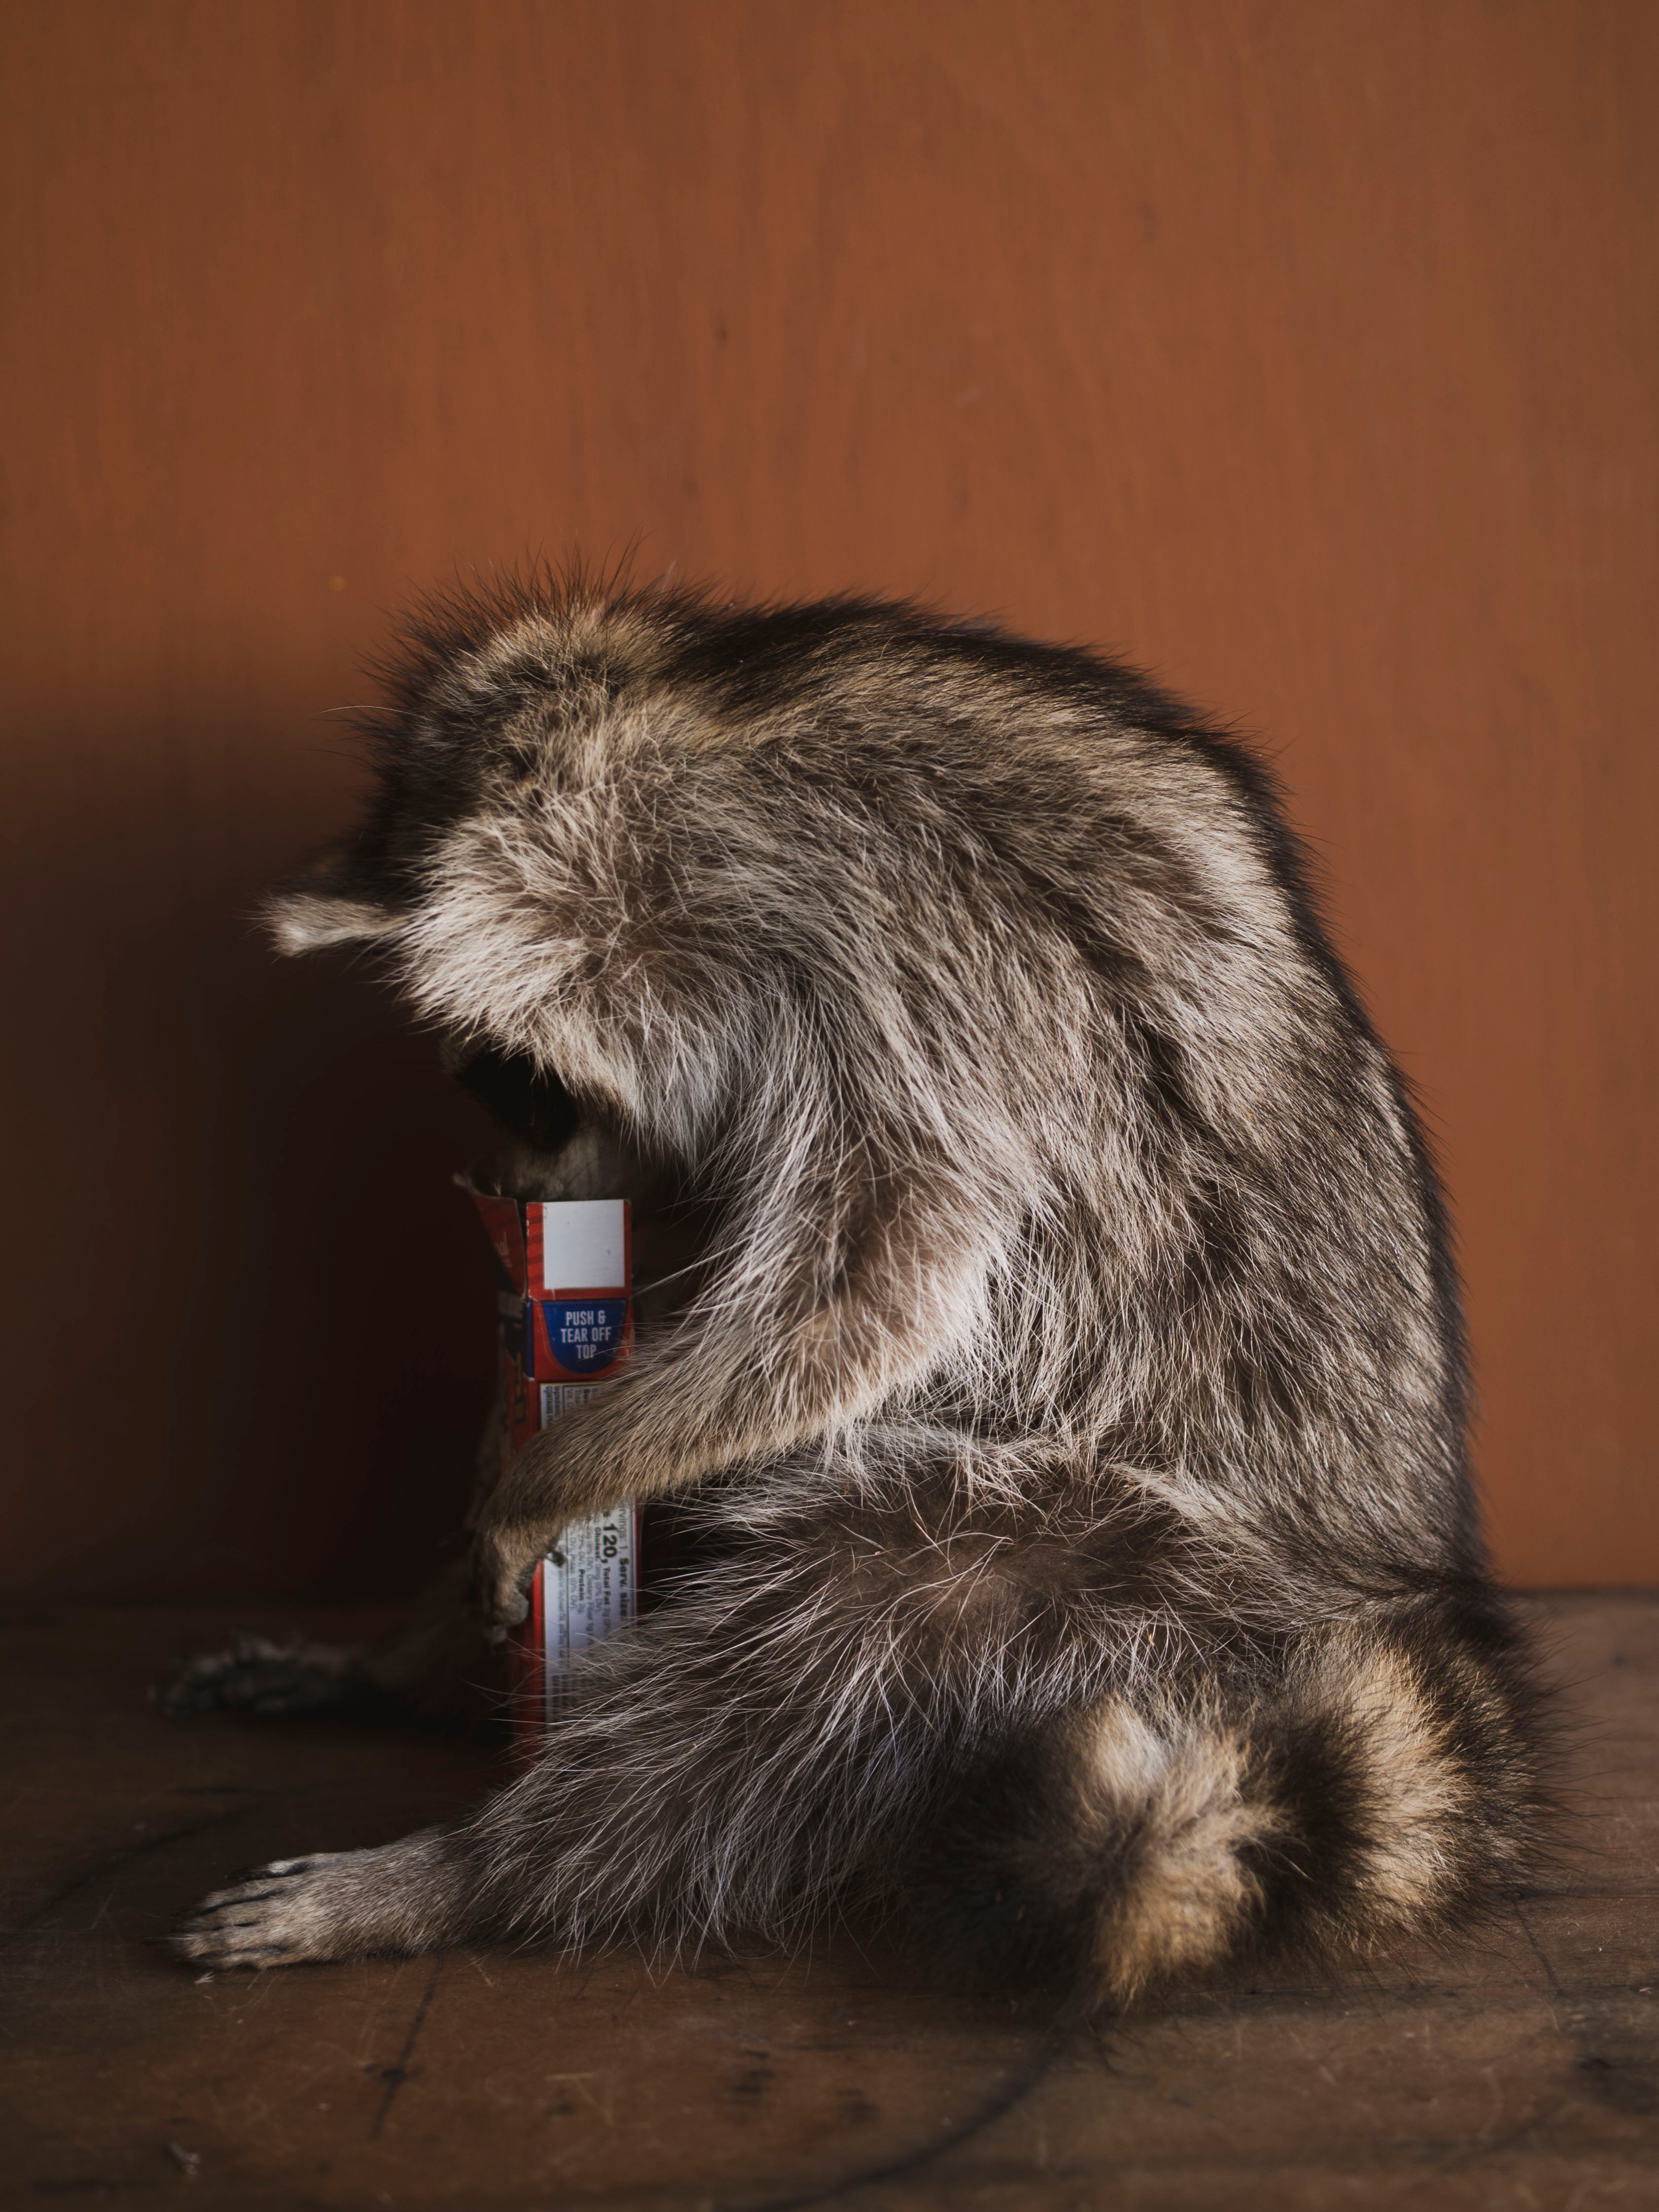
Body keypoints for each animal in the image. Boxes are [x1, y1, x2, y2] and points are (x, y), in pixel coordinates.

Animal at [172, 575, 1549, 2009]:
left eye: (519, 1085)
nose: (511, 1198)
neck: (676, 728)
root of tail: (1400, 1589)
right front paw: (505, 1460)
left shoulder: (911, 959)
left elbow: (869, 1290)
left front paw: (554, 1470)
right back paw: (413, 1664)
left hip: (1145, 1562)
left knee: (837, 1625)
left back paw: (478, 1864)